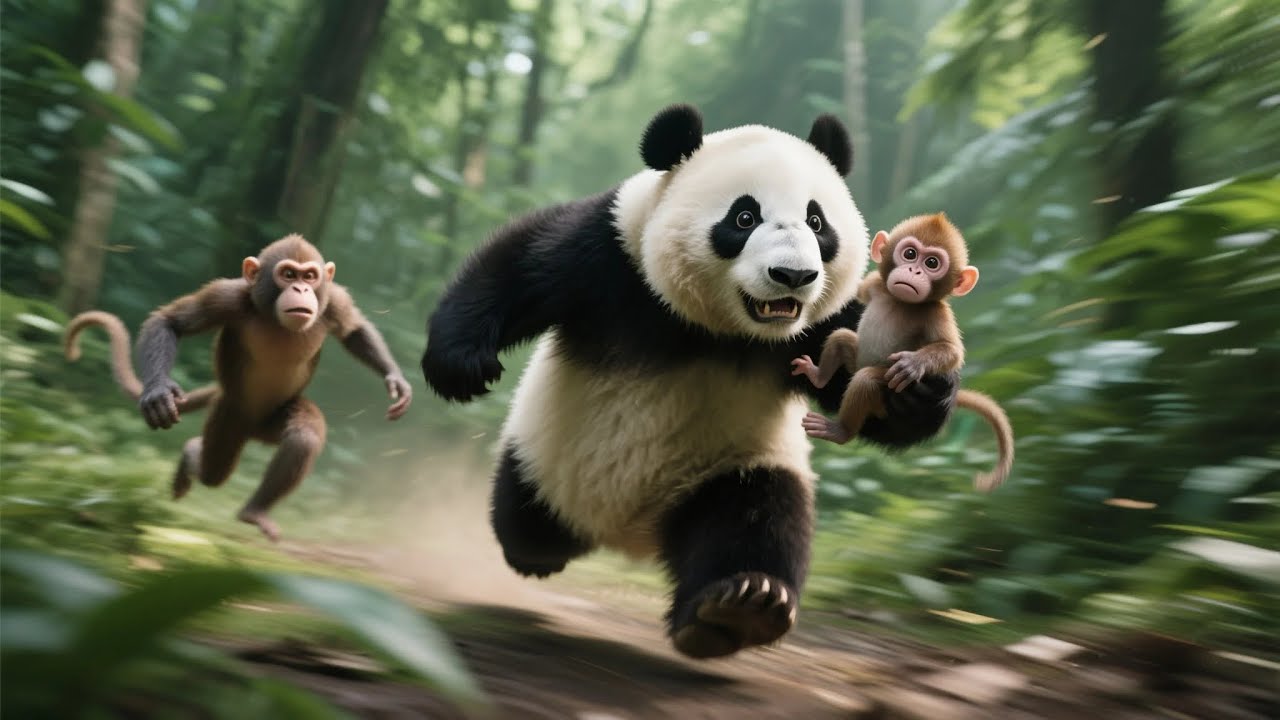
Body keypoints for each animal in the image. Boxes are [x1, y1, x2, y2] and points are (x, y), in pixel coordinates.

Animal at [65, 233, 413, 540]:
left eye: (310, 276)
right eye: (288, 274)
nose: (301, 288)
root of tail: (251, 429)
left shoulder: (333, 301)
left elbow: (354, 330)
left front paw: (395, 379)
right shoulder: (225, 297)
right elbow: (170, 322)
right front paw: (157, 391)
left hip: (270, 420)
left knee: (301, 438)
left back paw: (254, 511)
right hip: (228, 415)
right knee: (213, 470)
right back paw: (192, 459)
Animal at [422, 104, 956, 659]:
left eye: (816, 221)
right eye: (744, 218)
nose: (793, 276)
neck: (723, 332)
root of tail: (629, 533)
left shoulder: (830, 318)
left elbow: (854, 378)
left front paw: (916, 392)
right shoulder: (616, 252)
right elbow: (526, 263)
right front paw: (461, 365)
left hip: (727, 465)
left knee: (755, 516)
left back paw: (741, 607)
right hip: (548, 461)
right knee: (526, 517)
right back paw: (541, 551)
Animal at [790, 213, 1014, 492]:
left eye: (932, 263)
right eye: (909, 254)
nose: (913, 271)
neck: (898, 300)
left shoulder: (935, 311)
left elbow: (951, 351)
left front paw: (913, 364)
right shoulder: (875, 284)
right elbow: (854, 294)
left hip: (884, 385)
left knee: (864, 380)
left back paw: (841, 431)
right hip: (855, 359)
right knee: (841, 337)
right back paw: (818, 375)